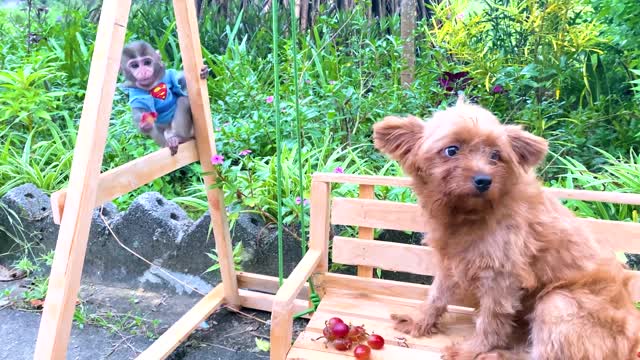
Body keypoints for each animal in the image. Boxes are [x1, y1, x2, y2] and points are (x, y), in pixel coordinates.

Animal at [372, 96, 636, 360]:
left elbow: (491, 319)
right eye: (451, 150)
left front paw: (471, 350)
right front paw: (420, 321)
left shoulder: (500, 276)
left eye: (495, 155)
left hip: (556, 302)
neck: (470, 214)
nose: (484, 180)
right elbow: (436, 295)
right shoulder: (452, 262)